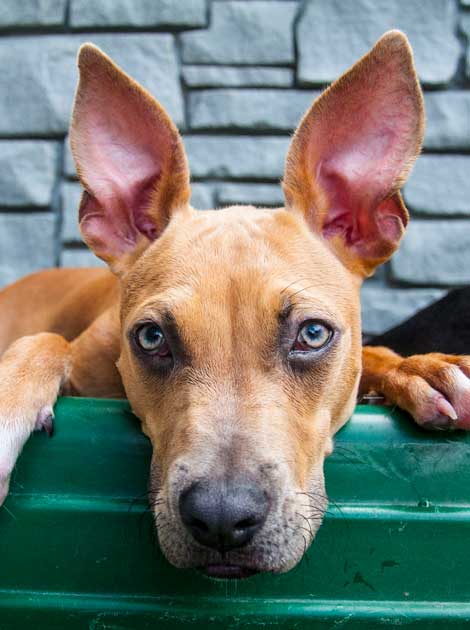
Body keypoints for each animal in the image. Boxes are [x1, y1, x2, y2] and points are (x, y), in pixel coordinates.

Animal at [0, 30, 470, 584]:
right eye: (151, 338)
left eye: (313, 334)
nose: (222, 519)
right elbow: (43, 343)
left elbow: (375, 354)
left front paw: (422, 369)